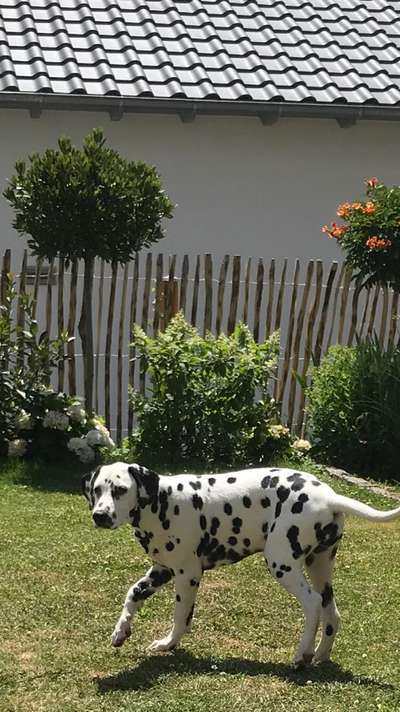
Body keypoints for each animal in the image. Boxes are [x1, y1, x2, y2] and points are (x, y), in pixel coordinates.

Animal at [82, 462, 400, 668]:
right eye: (97, 490)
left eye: (120, 490)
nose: (100, 515)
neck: (161, 502)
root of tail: (330, 496)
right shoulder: (160, 571)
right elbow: (132, 594)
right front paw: (121, 631)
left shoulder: (187, 575)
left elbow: (180, 617)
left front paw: (168, 643)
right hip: (320, 568)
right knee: (331, 612)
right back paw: (320, 655)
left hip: (282, 564)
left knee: (312, 604)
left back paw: (302, 654)